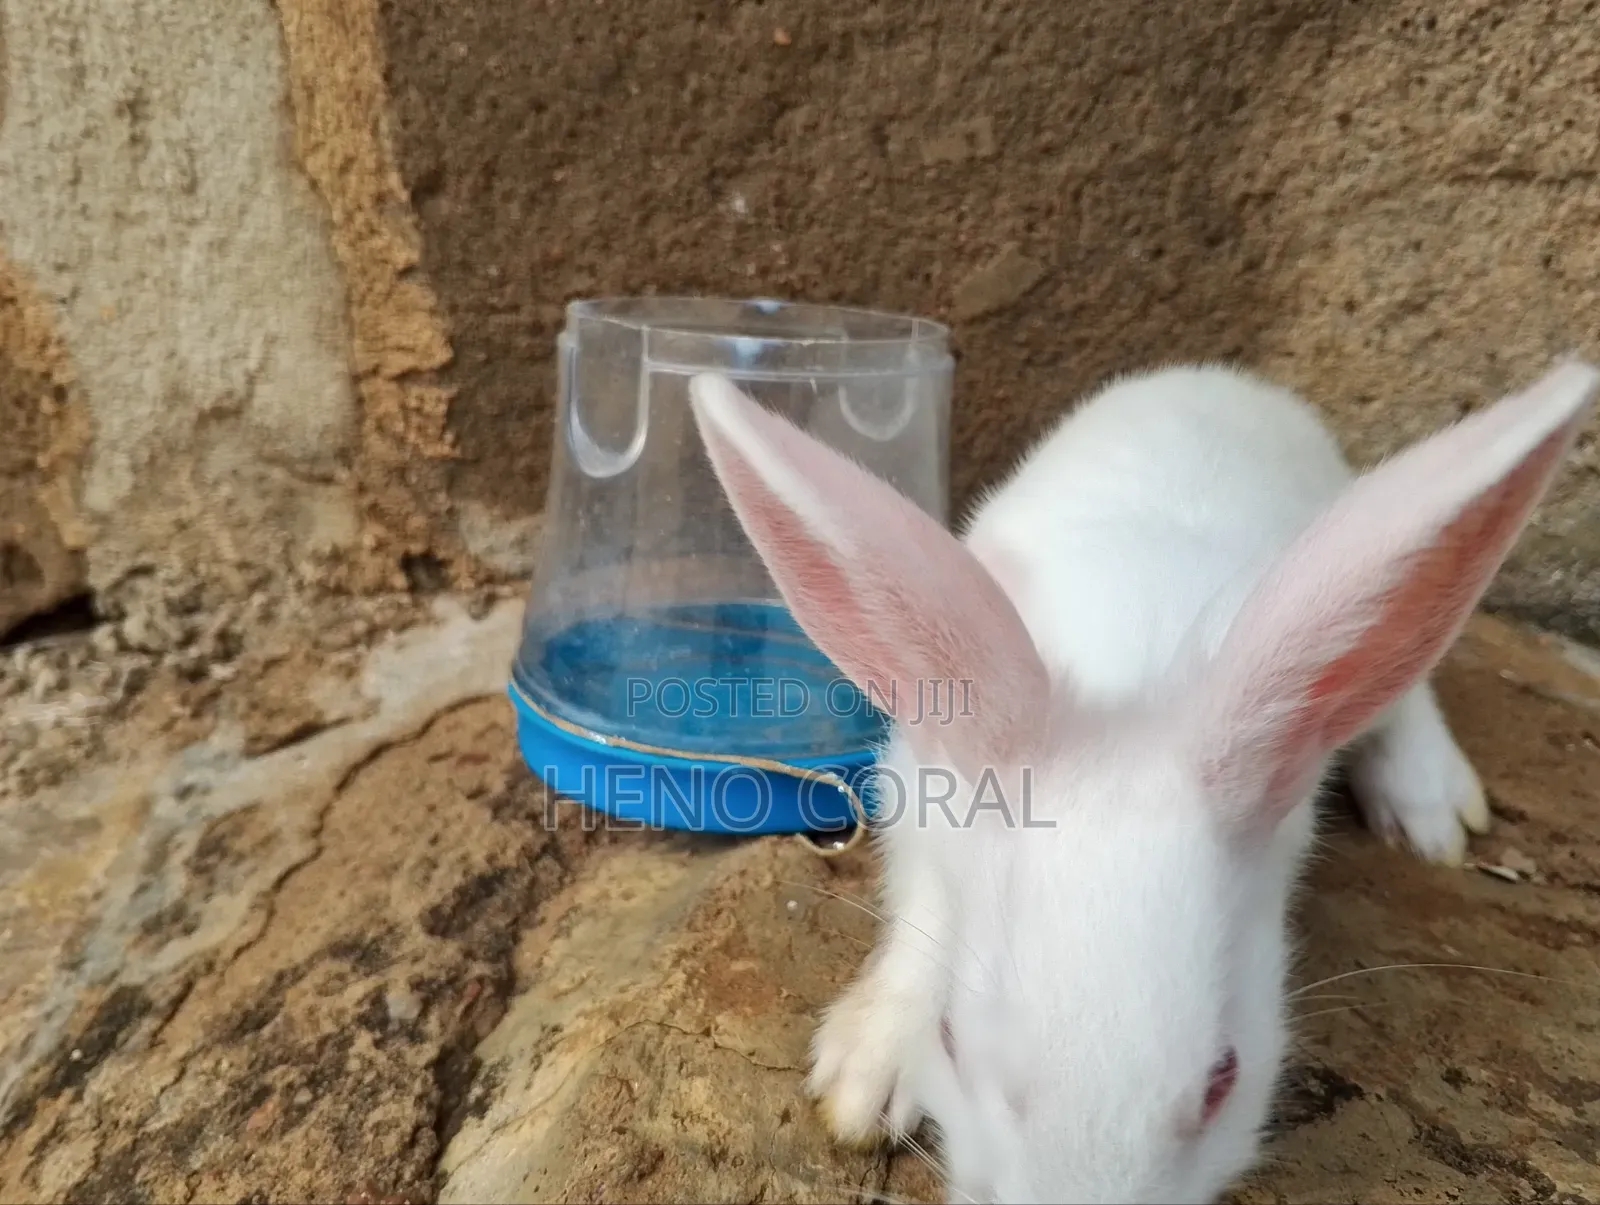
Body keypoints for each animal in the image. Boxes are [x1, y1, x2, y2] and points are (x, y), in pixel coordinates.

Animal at [686, 356, 1599, 1205]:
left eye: (1224, 1075)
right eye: (953, 1042)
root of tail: (1220, 378)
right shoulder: (921, 792)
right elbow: (926, 916)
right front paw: (867, 1074)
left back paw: (1434, 811)